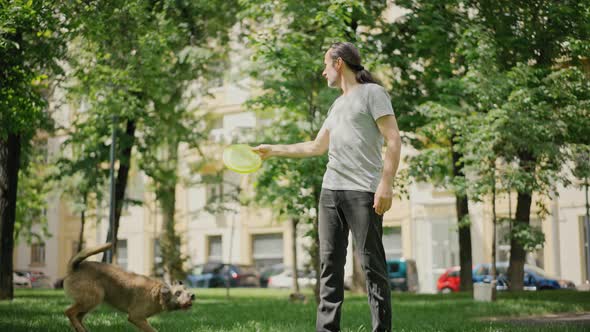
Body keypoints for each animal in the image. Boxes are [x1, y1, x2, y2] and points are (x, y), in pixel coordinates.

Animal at [64, 243, 194, 330]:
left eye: (186, 289)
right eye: (178, 293)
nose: (193, 295)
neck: (157, 294)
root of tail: (75, 268)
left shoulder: (141, 320)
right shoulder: (136, 317)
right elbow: (152, 330)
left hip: (90, 302)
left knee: (78, 317)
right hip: (93, 298)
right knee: (69, 312)